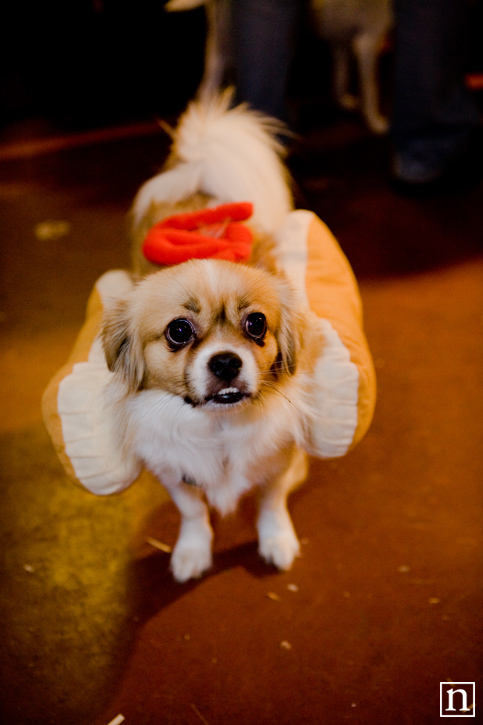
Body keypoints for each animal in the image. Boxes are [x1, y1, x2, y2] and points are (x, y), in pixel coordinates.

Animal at [101, 94, 322, 584]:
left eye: (256, 324)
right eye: (178, 332)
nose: (225, 362)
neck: (219, 427)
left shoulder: (277, 460)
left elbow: (271, 503)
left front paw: (277, 542)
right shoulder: (173, 473)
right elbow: (193, 513)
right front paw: (192, 552)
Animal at [166, 0, 394, 134]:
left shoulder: (341, 41)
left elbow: (339, 77)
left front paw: (343, 102)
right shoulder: (368, 42)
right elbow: (372, 89)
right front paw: (377, 123)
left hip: (220, 42)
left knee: (207, 88)